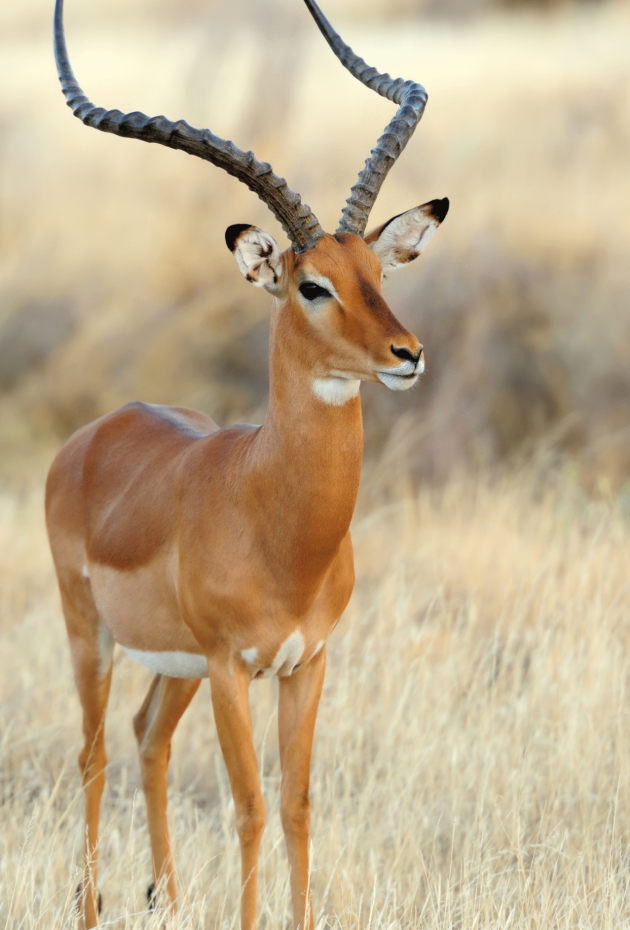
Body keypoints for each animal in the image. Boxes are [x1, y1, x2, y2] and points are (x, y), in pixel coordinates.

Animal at [47, 0, 449, 927]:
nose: (407, 354)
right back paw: (92, 905)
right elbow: (250, 807)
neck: (277, 521)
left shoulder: (307, 663)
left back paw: (162, 898)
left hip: (178, 667)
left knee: (146, 738)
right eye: (312, 285)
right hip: (92, 634)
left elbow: (298, 805)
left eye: (377, 273)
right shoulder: (236, 667)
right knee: (92, 755)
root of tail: (94, 434)